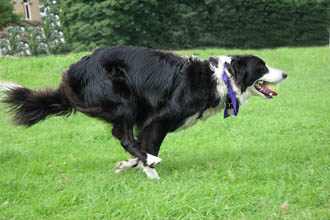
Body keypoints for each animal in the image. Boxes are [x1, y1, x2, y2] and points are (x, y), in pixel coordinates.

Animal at [0, 46, 286, 179]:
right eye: (262, 66)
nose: (284, 73)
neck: (220, 78)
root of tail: (74, 71)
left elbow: (141, 145)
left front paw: (130, 165)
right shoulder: (158, 119)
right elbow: (147, 144)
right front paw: (148, 169)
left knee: (121, 134)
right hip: (123, 99)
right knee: (124, 136)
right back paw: (152, 163)